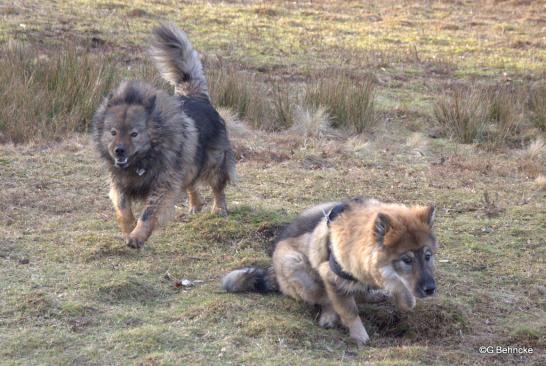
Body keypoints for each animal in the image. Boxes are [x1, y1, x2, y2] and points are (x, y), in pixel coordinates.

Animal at [92, 23, 236, 249]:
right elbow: (123, 208)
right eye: (113, 132)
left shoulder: (162, 185)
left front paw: (137, 237)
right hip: (188, 163)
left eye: (134, 133)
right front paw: (128, 227)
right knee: (191, 183)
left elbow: (148, 214)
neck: (144, 159)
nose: (119, 151)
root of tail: (197, 97)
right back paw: (195, 205)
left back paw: (219, 208)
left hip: (213, 163)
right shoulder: (120, 182)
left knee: (217, 187)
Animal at [219, 199, 436, 344]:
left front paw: (402, 297)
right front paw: (360, 336)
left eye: (428, 256)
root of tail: (274, 273)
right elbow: (349, 310)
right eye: (406, 260)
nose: (431, 289)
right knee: (326, 299)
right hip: (298, 269)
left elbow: (405, 299)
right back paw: (330, 316)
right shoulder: (330, 276)